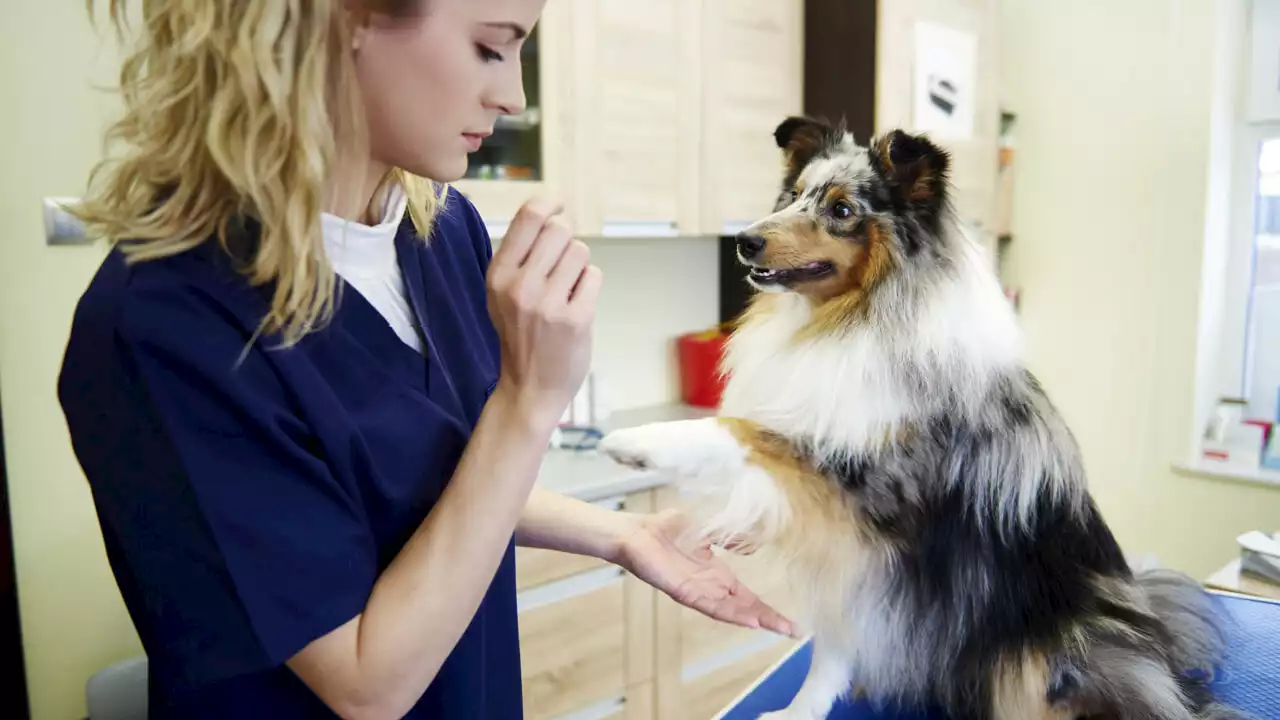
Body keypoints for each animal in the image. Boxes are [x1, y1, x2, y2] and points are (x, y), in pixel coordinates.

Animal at [601, 117, 1249, 717]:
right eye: (793, 197)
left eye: (841, 209)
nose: (743, 240)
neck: (848, 320)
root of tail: (1160, 640)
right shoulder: (852, 557)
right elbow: (831, 648)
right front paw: (799, 710)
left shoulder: (870, 484)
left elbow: (743, 433)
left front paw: (635, 440)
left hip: (1045, 655)